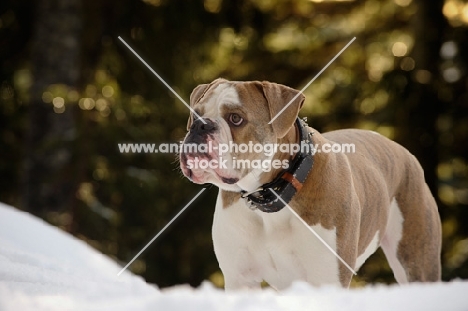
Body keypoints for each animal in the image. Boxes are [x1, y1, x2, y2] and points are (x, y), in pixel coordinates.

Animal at [178, 78, 438, 292]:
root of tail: (400, 149)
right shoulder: (240, 279)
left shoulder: (327, 278)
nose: (200, 125)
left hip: (416, 262)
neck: (272, 196)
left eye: (235, 118)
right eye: (195, 114)